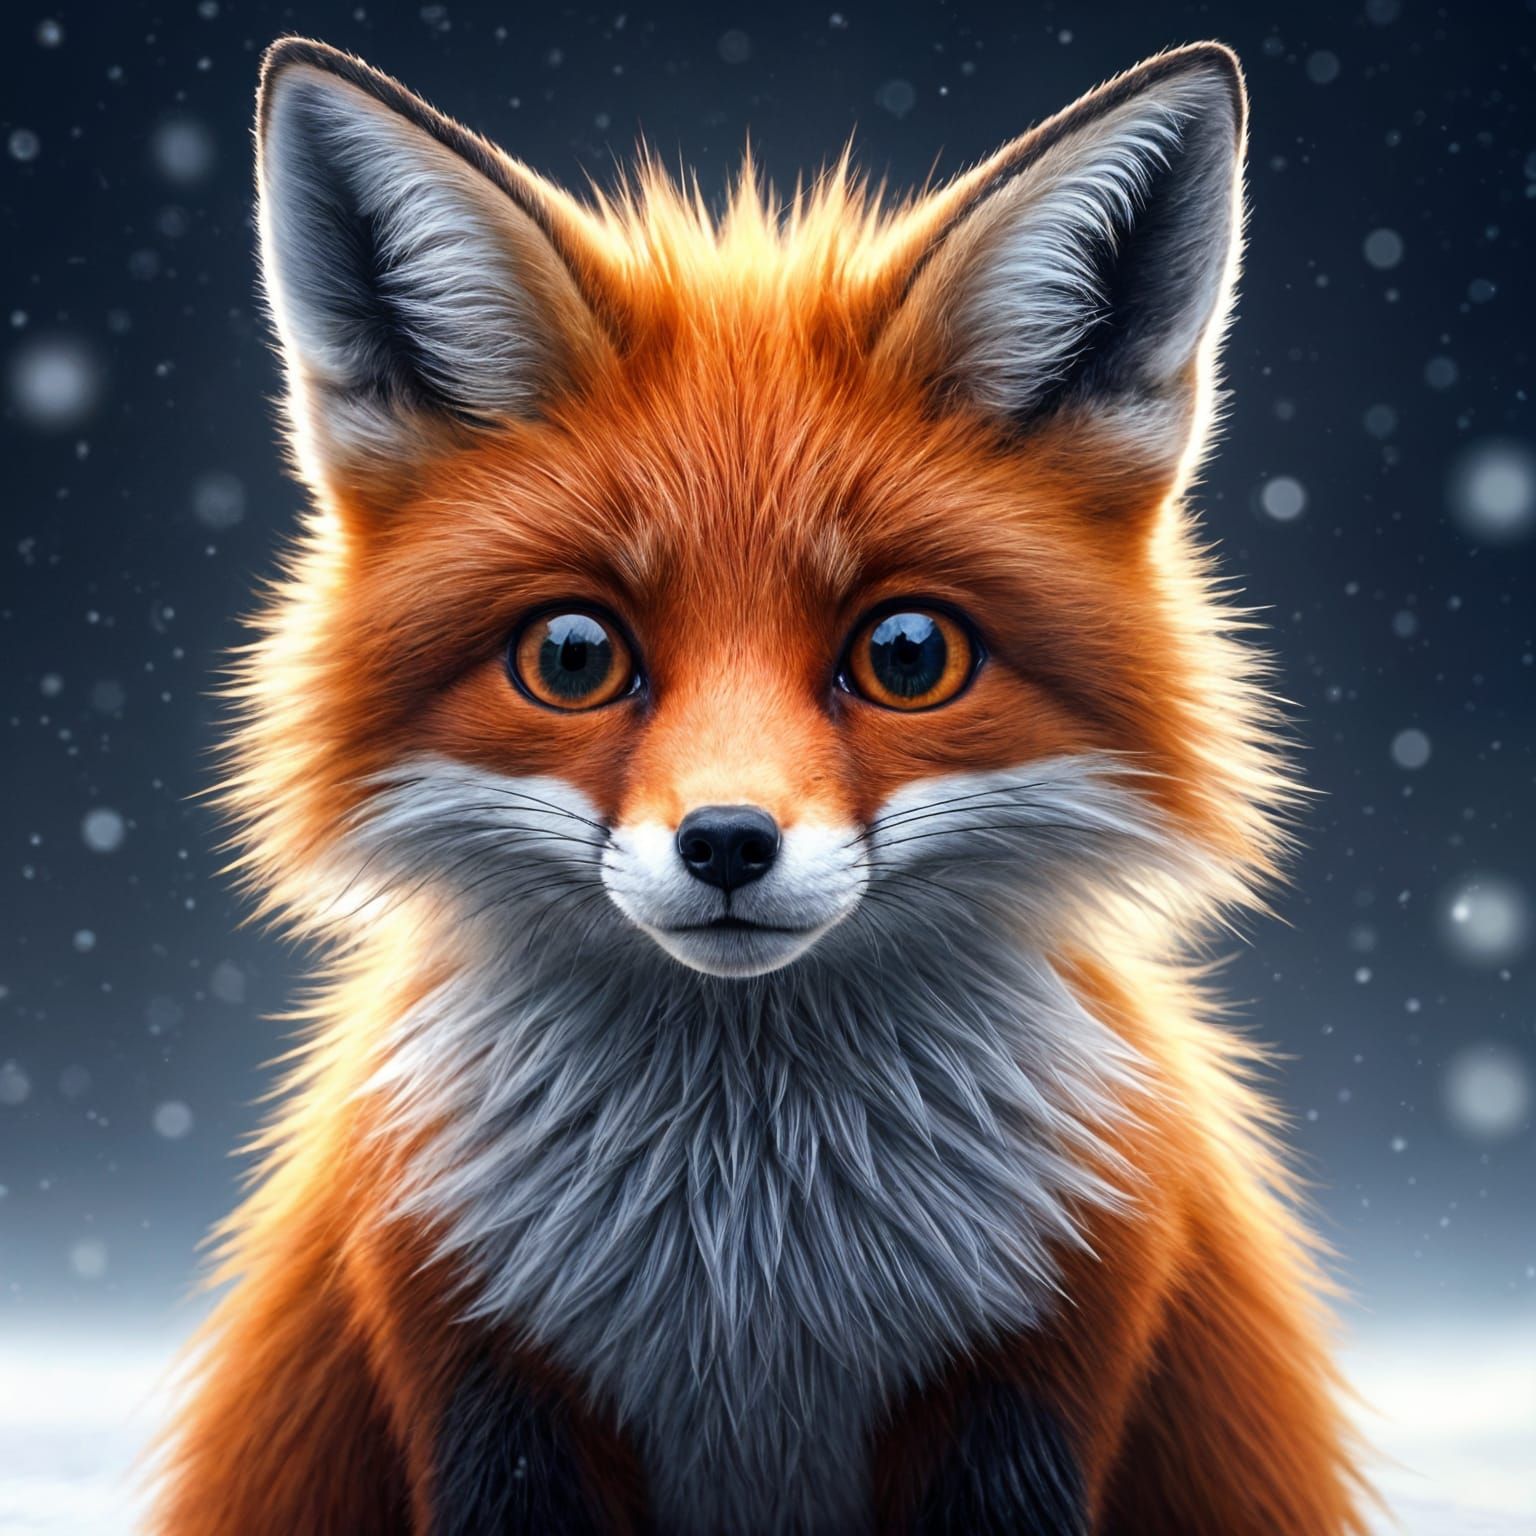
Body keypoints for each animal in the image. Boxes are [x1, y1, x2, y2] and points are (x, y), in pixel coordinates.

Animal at [150, 33, 1372, 1536]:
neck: (749, 1264)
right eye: (573, 655)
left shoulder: (1048, 1362)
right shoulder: (472, 1369)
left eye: (906, 655)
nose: (728, 844)